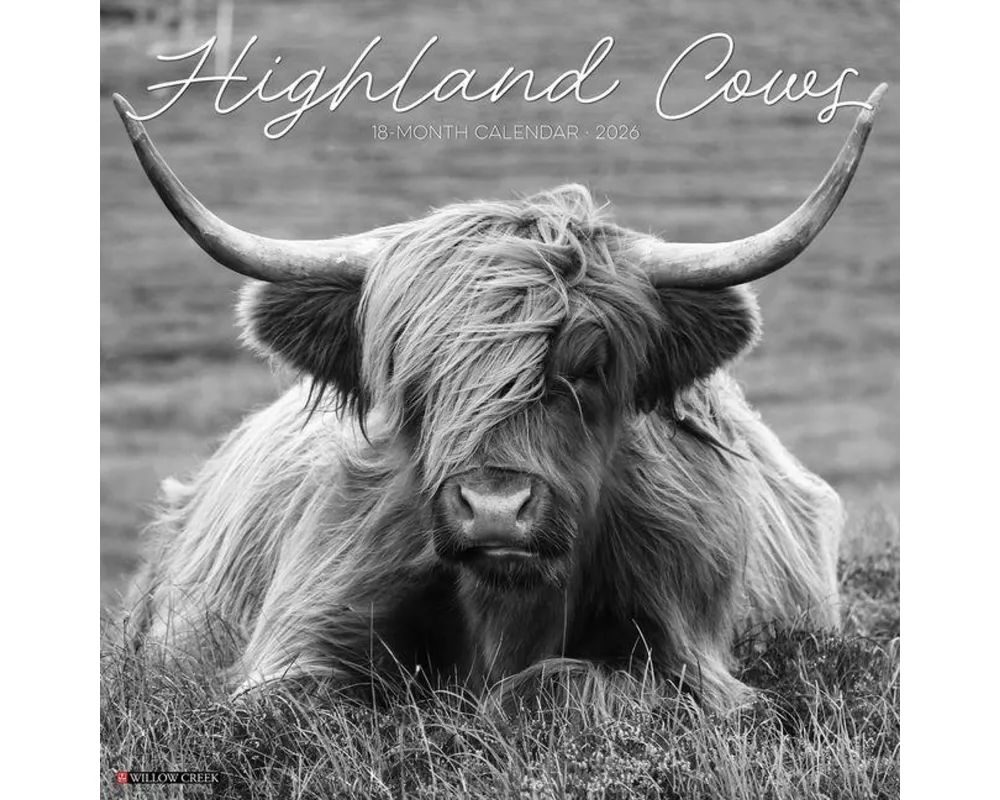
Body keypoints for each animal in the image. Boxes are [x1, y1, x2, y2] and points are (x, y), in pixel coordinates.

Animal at [112, 84, 886, 711]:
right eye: (411, 372)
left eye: (591, 366)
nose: (493, 508)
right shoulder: (295, 645)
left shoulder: (695, 664)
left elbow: (560, 683)